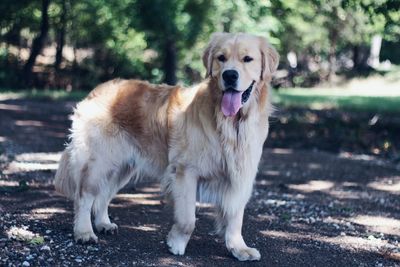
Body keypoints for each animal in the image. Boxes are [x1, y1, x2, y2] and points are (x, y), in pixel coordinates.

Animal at [54, 31, 278, 262]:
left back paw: (103, 223)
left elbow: (235, 218)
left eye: (247, 59)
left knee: (103, 195)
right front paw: (176, 244)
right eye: (221, 58)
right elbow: (188, 219)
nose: (230, 75)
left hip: (122, 167)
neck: (231, 124)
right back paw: (84, 232)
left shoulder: (241, 173)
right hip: (100, 161)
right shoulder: (185, 172)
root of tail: (97, 89)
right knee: (84, 196)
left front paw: (239, 248)